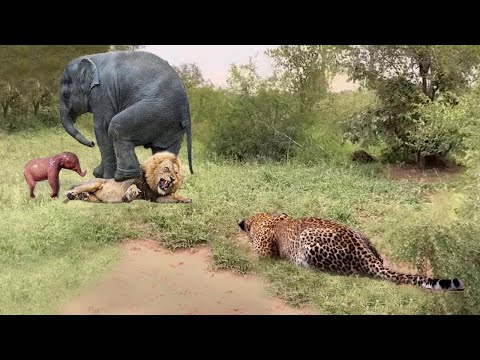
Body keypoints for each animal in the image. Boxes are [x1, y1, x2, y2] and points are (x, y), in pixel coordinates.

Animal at [60, 50, 193, 183]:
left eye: (66, 95)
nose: (91, 143)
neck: (92, 58)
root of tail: (186, 108)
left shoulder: (103, 92)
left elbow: (102, 128)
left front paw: (106, 177)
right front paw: (98, 173)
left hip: (156, 110)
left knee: (116, 127)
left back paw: (122, 177)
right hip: (172, 124)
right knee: (163, 150)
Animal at [62, 150, 192, 204]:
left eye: (176, 173)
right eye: (167, 168)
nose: (173, 179)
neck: (152, 184)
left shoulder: (154, 196)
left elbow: (174, 196)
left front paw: (186, 199)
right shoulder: (144, 191)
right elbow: (133, 186)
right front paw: (130, 194)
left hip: (97, 199)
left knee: (87, 196)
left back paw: (83, 196)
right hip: (94, 183)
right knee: (76, 189)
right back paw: (71, 193)